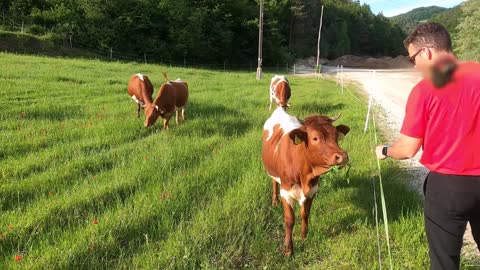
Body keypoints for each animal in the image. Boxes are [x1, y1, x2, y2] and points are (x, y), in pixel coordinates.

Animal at [260, 106, 350, 255]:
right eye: (315, 138)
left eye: (336, 135)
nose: (342, 156)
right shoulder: (286, 191)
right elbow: (289, 220)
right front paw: (288, 249)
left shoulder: (312, 190)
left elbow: (305, 214)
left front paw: (304, 235)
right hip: (272, 171)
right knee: (274, 182)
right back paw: (274, 201)